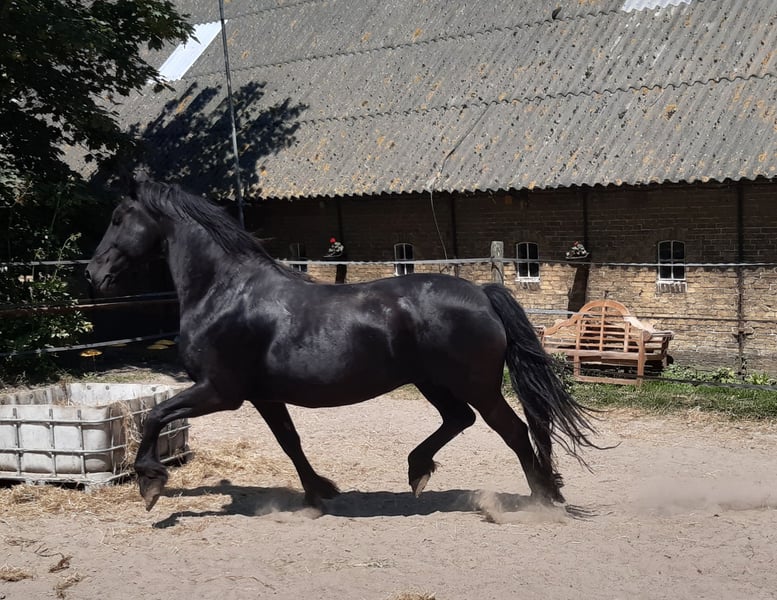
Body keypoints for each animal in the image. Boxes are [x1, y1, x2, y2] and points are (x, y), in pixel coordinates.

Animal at [86, 180, 599, 512]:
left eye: (117, 218)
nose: (93, 273)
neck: (225, 292)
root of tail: (482, 294)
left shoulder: (220, 392)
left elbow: (154, 416)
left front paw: (150, 484)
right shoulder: (264, 396)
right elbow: (289, 441)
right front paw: (320, 491)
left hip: (476, 386)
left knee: (513, 431)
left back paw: (540, 498)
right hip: (434, 383)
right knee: (461, 420)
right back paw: (419, 470)